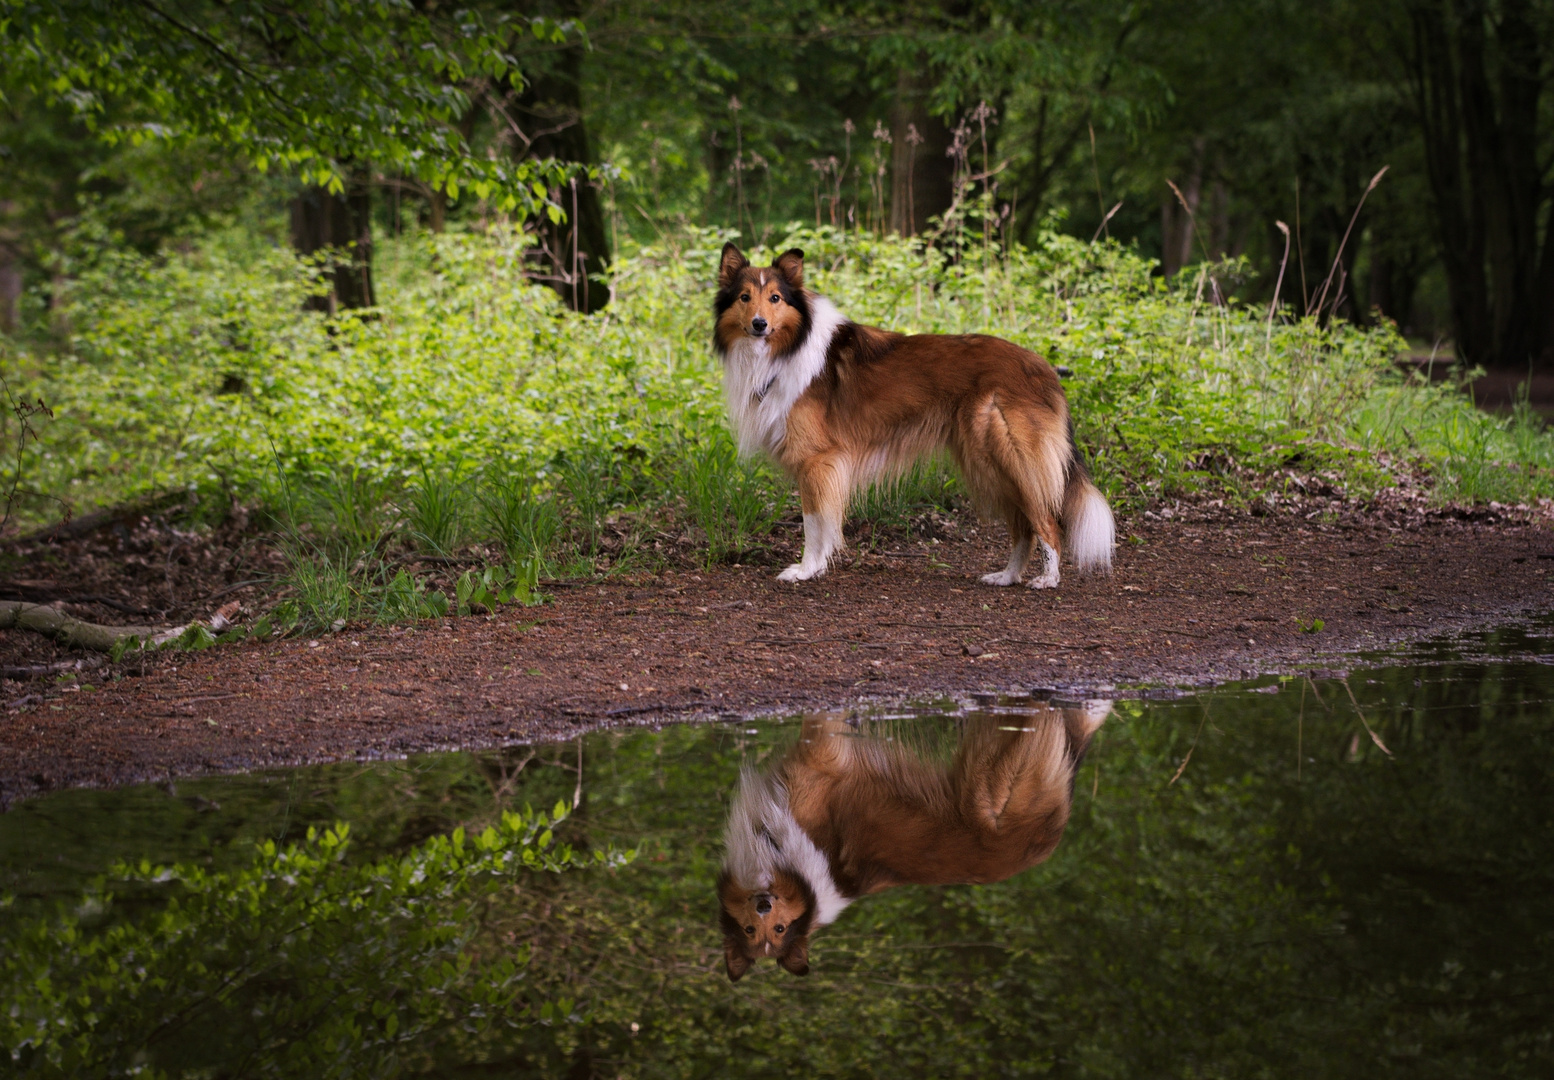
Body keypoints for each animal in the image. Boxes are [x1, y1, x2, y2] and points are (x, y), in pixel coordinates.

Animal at [714, 242, 1118, 590]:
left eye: (776, 298)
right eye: (745, 297)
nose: (759, 324)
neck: (787, 348)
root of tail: (1045, 369)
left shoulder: (817, 461)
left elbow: (814, 522)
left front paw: (806, 569)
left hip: (1009, 455)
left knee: (1046, 521)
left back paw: (1048, 578)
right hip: (987, 463)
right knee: (1023, 527)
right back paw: (1006, 576)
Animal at [714, 705, 1106, 982]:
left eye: (779, 928)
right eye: (751, 930)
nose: (763, 903)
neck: (805, 882)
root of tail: (1051, 833)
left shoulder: (821, 758)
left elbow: (822, 718)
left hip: (993, 767)